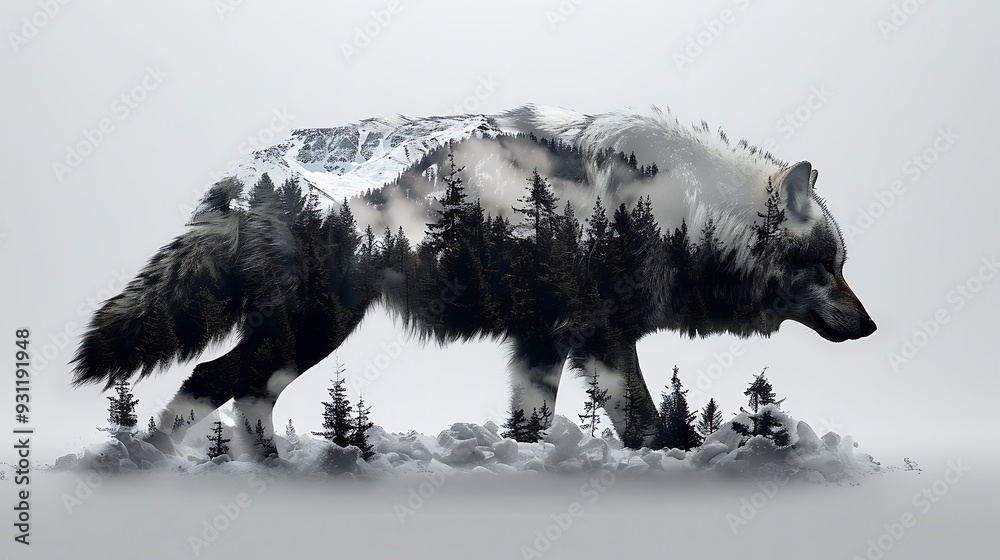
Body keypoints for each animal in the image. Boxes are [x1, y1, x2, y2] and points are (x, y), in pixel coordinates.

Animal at [70, 104, 876, 452]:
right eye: (829, 268)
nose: (871, 326)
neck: (681, 212)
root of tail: (252, 172)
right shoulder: (602, 341)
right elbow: (647, 423)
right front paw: (676, 458)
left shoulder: (542, 346)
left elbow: (530, 424)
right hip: (312, 330)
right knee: (210, 380)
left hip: (302, 339)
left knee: (243, 395)